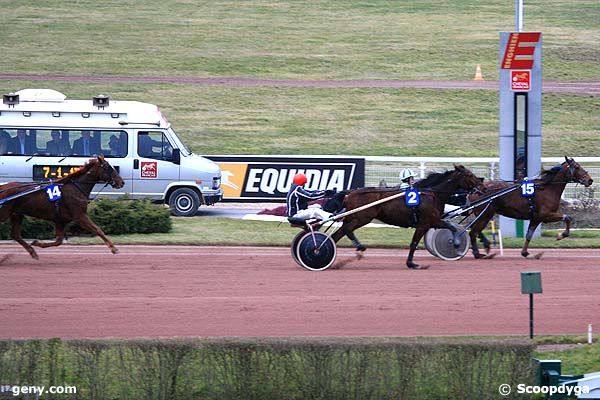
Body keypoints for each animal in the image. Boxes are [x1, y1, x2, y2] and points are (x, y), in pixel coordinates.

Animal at [332, 164, 482, 270]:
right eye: (469, 174)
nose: (482, 183)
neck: (432, 195)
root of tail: (349, 194)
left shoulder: (432, 222)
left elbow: (450, 227)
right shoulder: (426, 223)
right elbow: (415, 243)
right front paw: (412, 263)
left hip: (353, 217)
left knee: (338, 233)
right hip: (362, 218)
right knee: (346, 229)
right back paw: (359, 247)